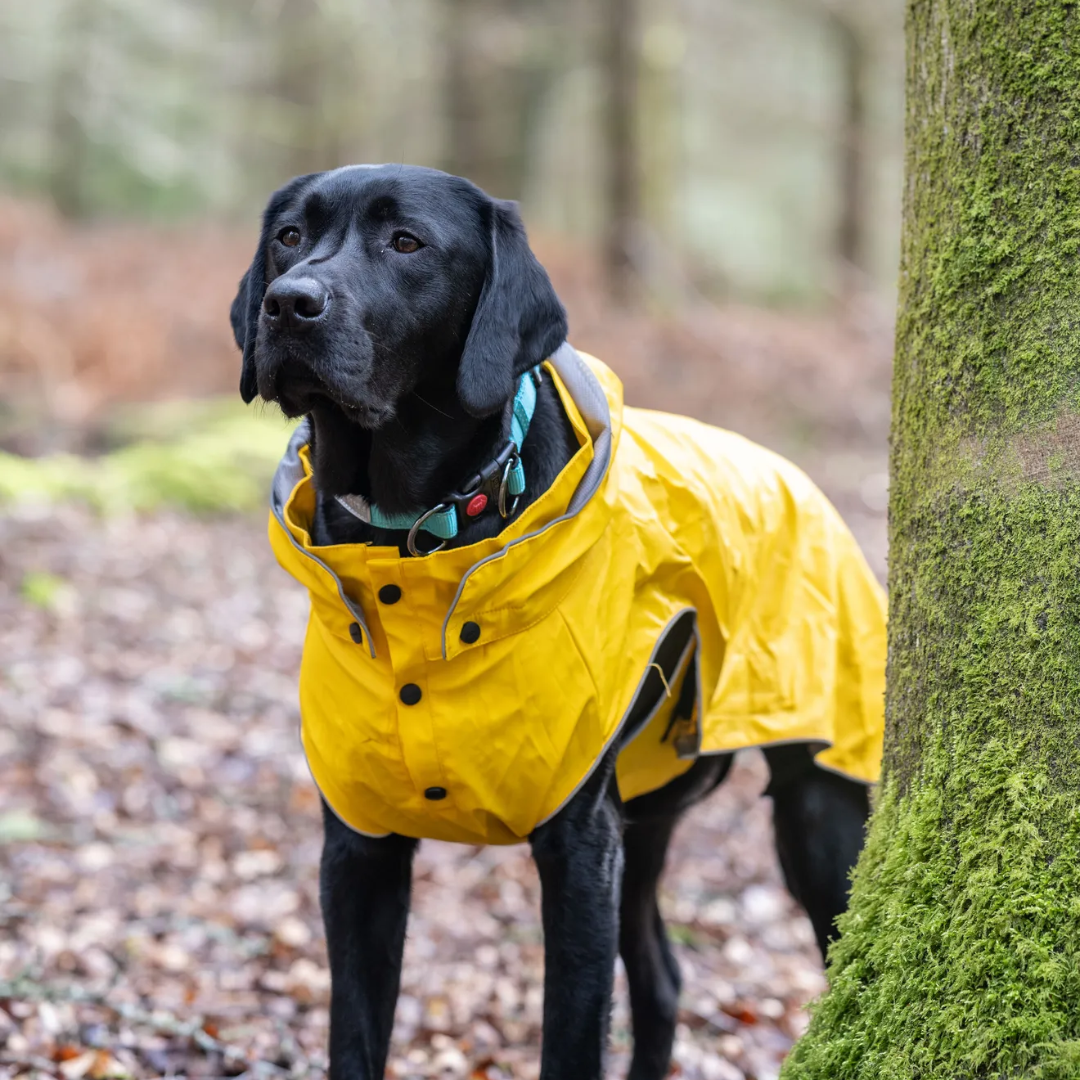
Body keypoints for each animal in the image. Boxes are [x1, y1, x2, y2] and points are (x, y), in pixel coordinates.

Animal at [230, 162, 868, 1080]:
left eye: (406, 242)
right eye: (288, 236)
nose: (289, 302)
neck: (417, 539)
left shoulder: (577, 848)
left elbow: (570, 1039)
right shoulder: (359, 846)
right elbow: (354, 1038)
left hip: (818, 804)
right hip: (646, 814)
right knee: (664, 978)